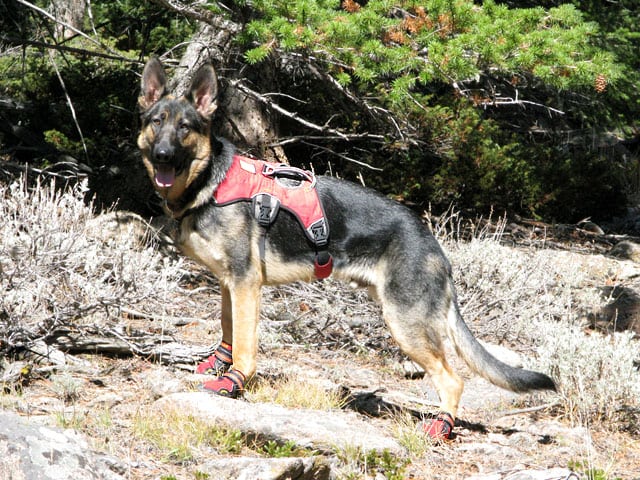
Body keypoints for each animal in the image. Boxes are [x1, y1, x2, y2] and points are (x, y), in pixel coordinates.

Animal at [136, 59, 556, 438]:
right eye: (156, 122)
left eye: (185, 128)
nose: (162, 155)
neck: (210, 181)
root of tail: (434, 247)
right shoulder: (230, 284)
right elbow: (228, 330)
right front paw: (217, 367)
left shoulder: (246, 284)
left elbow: (244, 344)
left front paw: (234, 382)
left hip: (405, 324)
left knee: (453, 379)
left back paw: (441, 427)